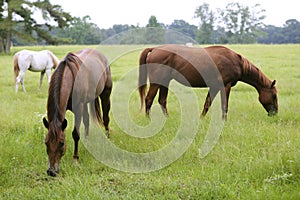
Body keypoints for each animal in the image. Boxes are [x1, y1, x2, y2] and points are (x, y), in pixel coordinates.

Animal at [42, 48, 112, 177]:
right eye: (46, 142)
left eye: (61, 143)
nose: (51, 171)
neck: (69, 77)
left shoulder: (78, 108)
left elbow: (75, 133)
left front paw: (75, 159)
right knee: (87, 121)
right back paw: (88, 142)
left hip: (106, 94)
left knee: (106, 118)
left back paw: (107, 138)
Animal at [139, 45, 278, 120]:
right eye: (274, 96)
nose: (275, 113)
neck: (237, 62)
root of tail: (154, 49)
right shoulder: (225, 86)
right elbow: (224, 105)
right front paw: (223, 122)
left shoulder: (214, 87)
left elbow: (207, 104)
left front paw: (201, 119)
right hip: (156, 83)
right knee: (149, 99)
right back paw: (148, 119)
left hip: (165, 82)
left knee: (162, 101)